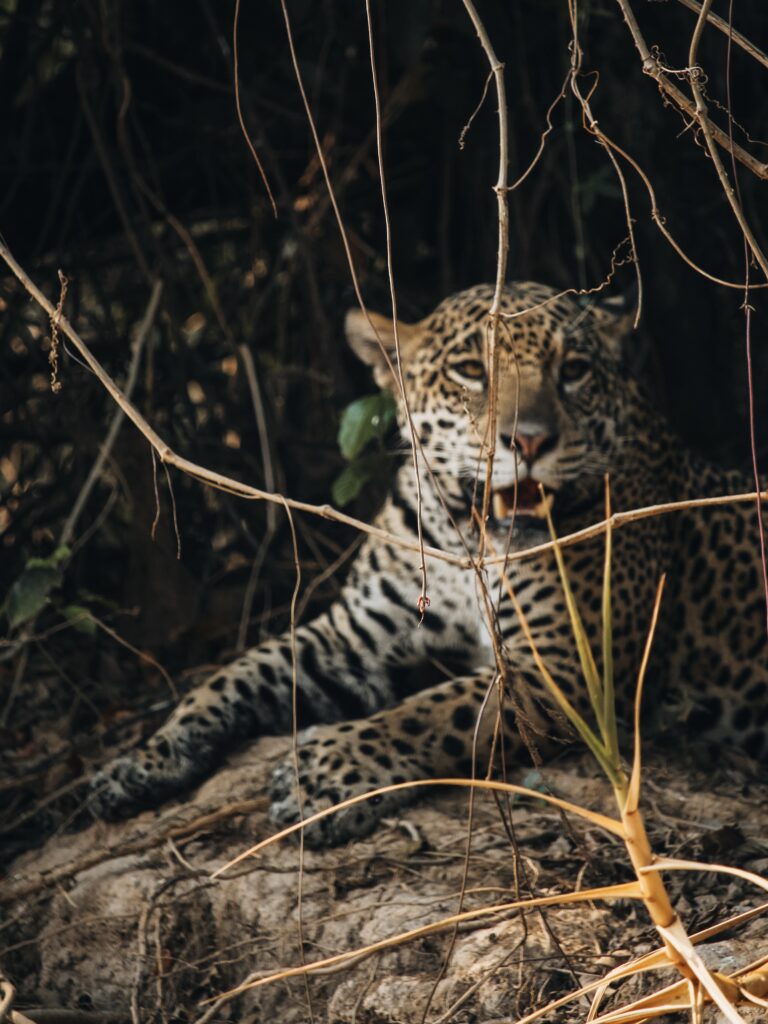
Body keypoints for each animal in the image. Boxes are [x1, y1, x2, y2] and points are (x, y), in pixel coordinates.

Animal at [91, 281, 768, 845]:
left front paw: (322, 773)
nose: (529, 439)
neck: (463, 538)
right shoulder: (352, 639)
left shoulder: (567, 667)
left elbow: (434, 711)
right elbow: (236, 675)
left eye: (573, 371)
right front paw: (143, 761)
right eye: (471, 371)